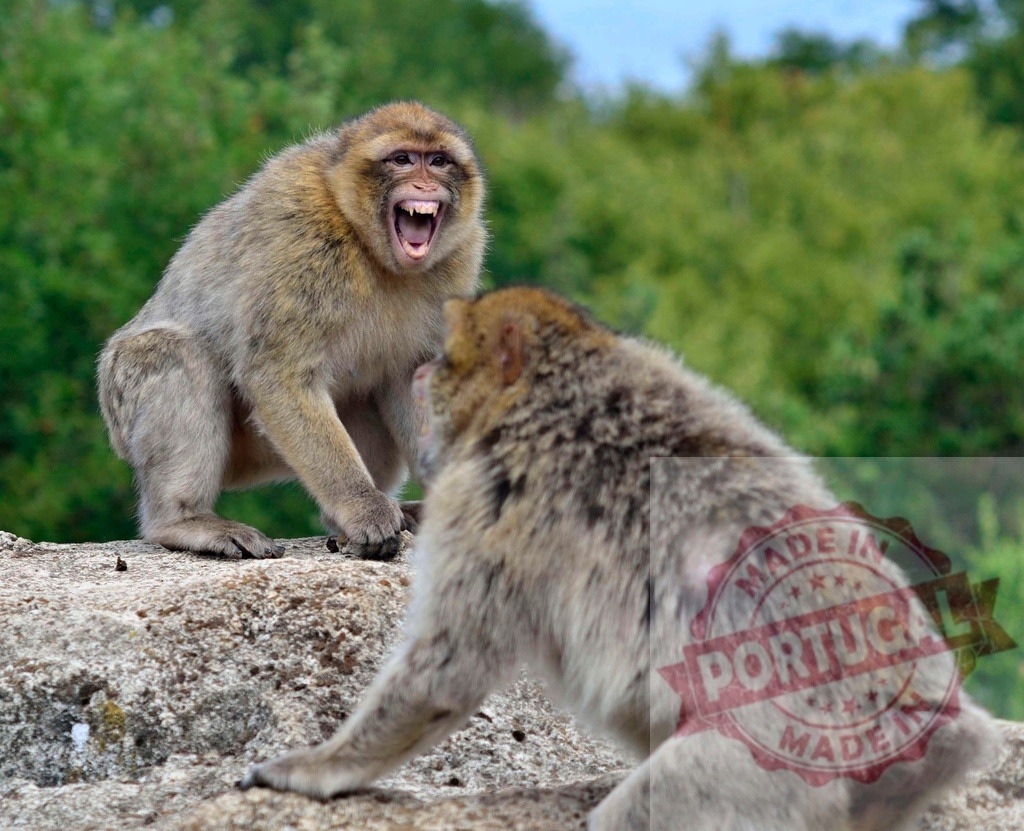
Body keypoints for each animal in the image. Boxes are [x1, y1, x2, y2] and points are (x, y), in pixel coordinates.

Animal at [97, 101, 485, 560]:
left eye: (439, 161)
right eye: (403, 159)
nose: (425, 182)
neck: (370, 248)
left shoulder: (461, 256)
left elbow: (413, 378)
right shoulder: (302, 240)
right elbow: (277, 374)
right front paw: (362, 507)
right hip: (129, 406)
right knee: (178, 354)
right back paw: (183, 521)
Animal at [242, 286, 999, 830]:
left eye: (447, 358)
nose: (423, 371)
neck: (555, 385)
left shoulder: (492, 501)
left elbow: (447, 666)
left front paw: (320, 766)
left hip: (772, 772)